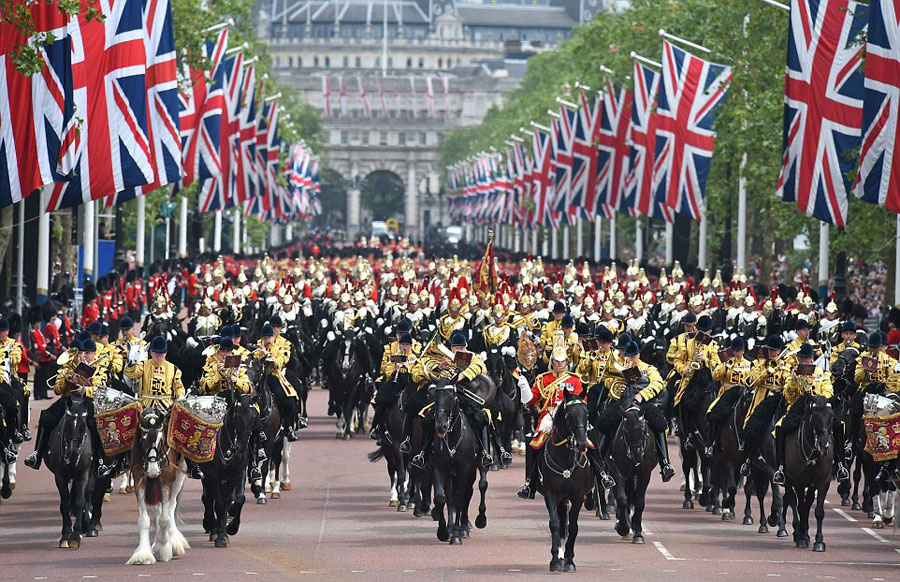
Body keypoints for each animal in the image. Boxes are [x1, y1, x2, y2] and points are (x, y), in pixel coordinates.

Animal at [126, 408, 188, 568]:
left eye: (161, 440)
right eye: (143, 439)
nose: (153, 471)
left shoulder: (166, 482)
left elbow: (165, 518)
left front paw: (166, 547)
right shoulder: (139, 482)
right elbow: (145, 520)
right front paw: (143, 554)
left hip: (179, 476)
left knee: (171, 507)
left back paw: (172, 541)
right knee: (157, 510)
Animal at [202, 392, 258, 548]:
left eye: (254, 417)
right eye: (237, 416)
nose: (241, 447)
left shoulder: (238, 473)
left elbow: (237, 499)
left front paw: (231, 528)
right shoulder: (214, 475)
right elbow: (220, 503)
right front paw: (220, 536)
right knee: (208, 498)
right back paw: (211, 525)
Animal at [532, 388, 596, 576]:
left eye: (586, 413)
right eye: (569, 415)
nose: (581, 444)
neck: (565, 459)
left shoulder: (578, 496)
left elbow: (573, 527)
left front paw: (569, 561)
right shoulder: (551, 495)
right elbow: (554, 524)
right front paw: (555, 560)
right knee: (560, 525)